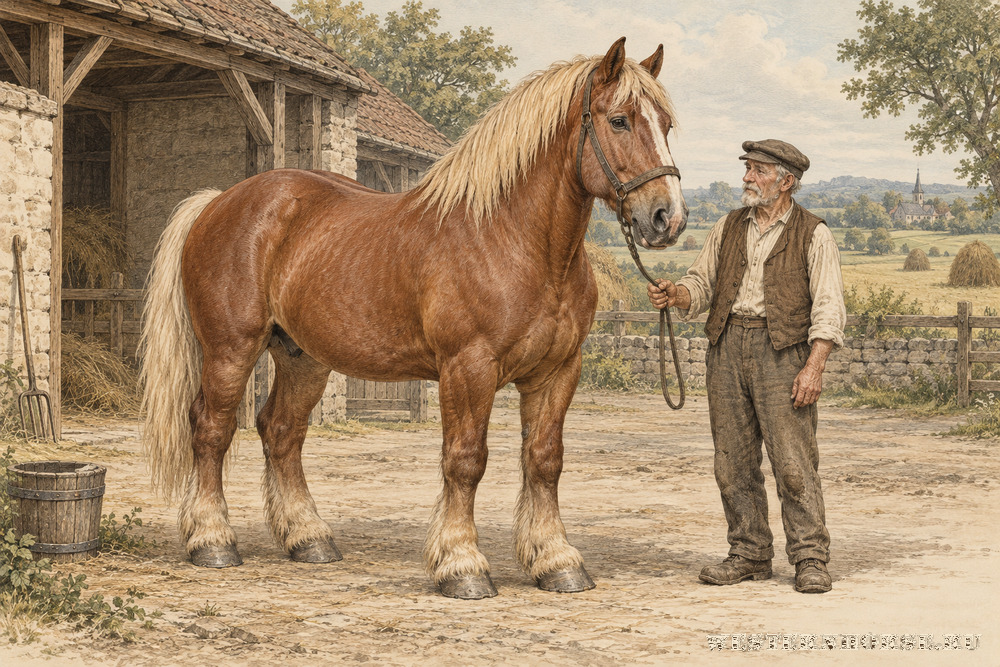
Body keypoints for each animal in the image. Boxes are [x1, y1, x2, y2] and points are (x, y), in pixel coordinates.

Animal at [140, 37, 687, 600]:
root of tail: (218, 203)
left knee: (282, 431)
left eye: (666, 124)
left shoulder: (557, 371)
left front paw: (556, 560)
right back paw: (212, 541)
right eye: (619, 120)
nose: (667, 218)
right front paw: (462, 565)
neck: (512, 239)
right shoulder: (468, 369)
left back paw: (308, 538)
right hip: (231, 350)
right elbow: (465, 460)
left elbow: (544, 460)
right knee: (212, 429)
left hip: (303, 358)